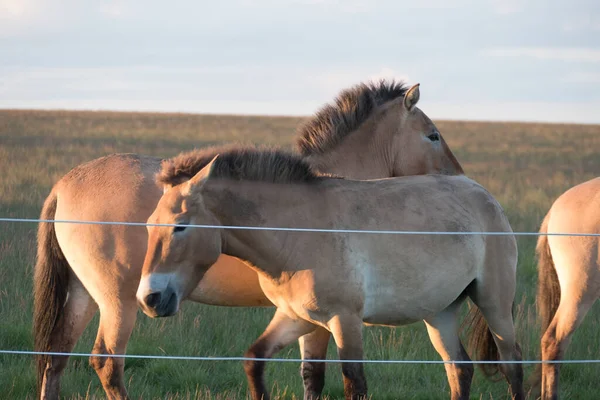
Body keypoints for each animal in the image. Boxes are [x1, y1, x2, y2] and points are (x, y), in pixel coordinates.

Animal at [34, 79, 464, 398]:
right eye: (433, 135)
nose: (458, 178)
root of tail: (66, 182)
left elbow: (310, 375)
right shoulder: (325, 318)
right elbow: (316, 376)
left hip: (82, 295)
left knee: (56, 358)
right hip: (119, 302)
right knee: (108, 364)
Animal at [137, 147, 524, 400]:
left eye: (180, 226)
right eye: (149, 225)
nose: (149, 298)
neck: (299, 232)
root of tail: (486, 197)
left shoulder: (345, 320)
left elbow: (355, 383)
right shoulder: (297, 317)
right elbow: (260, 362)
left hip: (494, 303)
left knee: (513, 364)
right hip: (440, 312)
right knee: (459, 369)